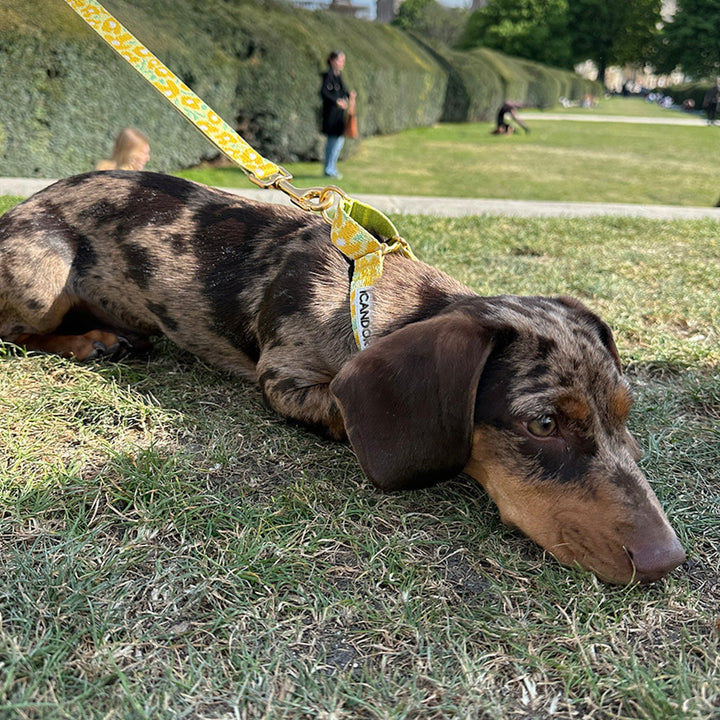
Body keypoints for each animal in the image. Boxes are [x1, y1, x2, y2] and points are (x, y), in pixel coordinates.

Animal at [0, 171, 686, 584]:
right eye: (543, 423)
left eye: (624, 411)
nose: (668, 560)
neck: (365, 291)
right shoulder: (281, 377)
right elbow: (336, 406)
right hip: (43, 274)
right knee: (13, 330)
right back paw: (92, 339)